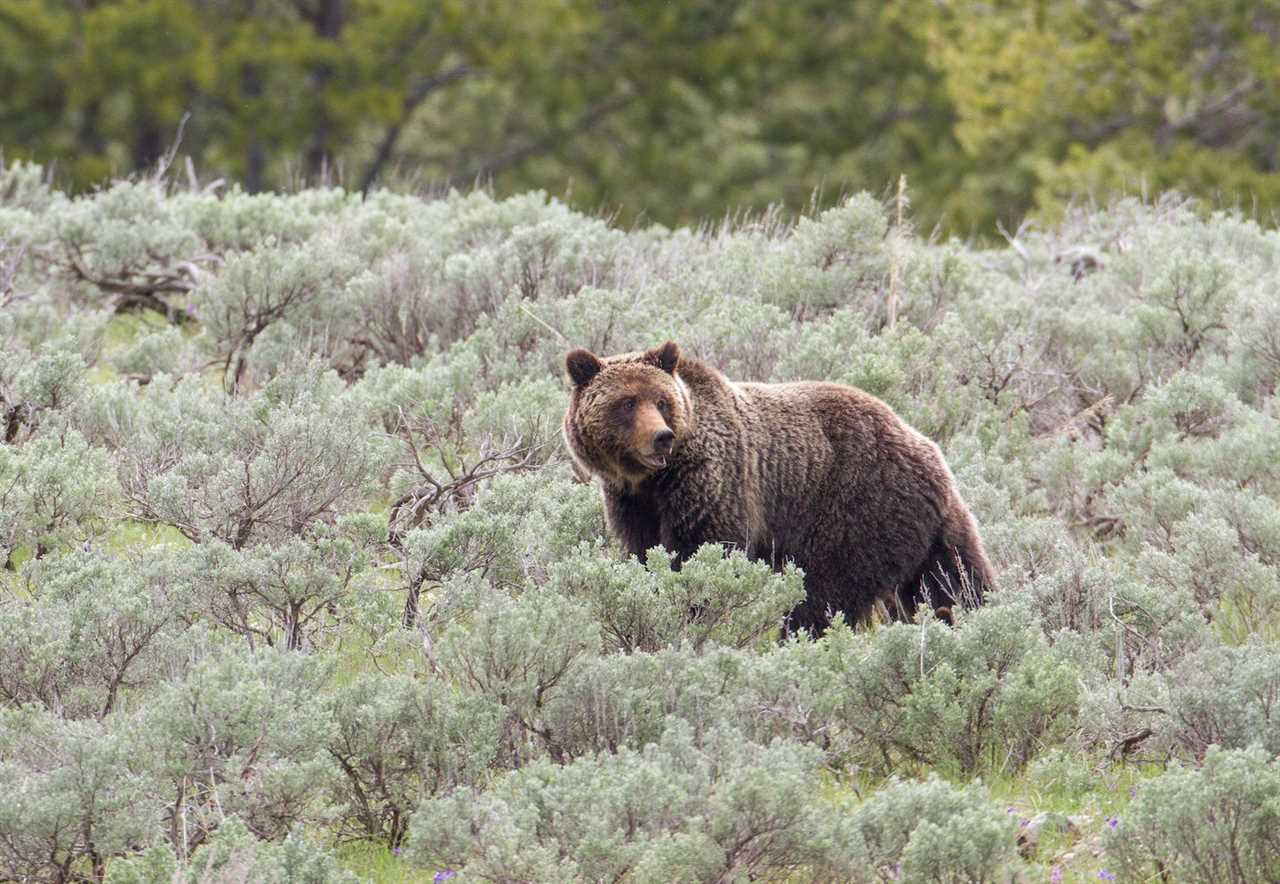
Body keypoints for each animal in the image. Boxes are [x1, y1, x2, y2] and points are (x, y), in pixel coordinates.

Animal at [565, 340, 993, 637]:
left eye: (661, 400)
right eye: (626, 402)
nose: (661, 437)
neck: (653, 481)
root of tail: (929, 450)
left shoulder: (713, 484)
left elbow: (703, 552)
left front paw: (696, 612)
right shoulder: (632, 504)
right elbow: (645, 553)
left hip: (857, 508)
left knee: (824, 593)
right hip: (928, 528)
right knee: (954, 579)